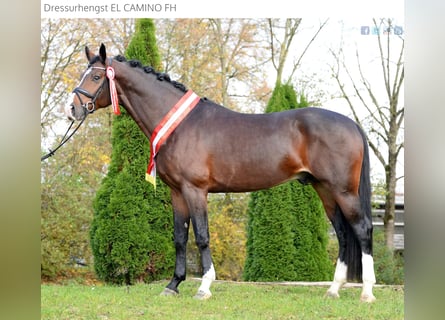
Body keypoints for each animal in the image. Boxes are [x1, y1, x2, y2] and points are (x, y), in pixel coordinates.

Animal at [66, 43, 374, 302]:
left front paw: (204, 287)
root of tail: (352, 124)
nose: (72, 109)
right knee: (343, 233)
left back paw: (367, 292)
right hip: (325, 189)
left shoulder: (195, 190)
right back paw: (333, 290)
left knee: (362, 229)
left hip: (343, 190)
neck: (180, 125)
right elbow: (180, 237)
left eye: (96, 77)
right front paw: (173, 285)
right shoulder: (177, 192)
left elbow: (201, 236)